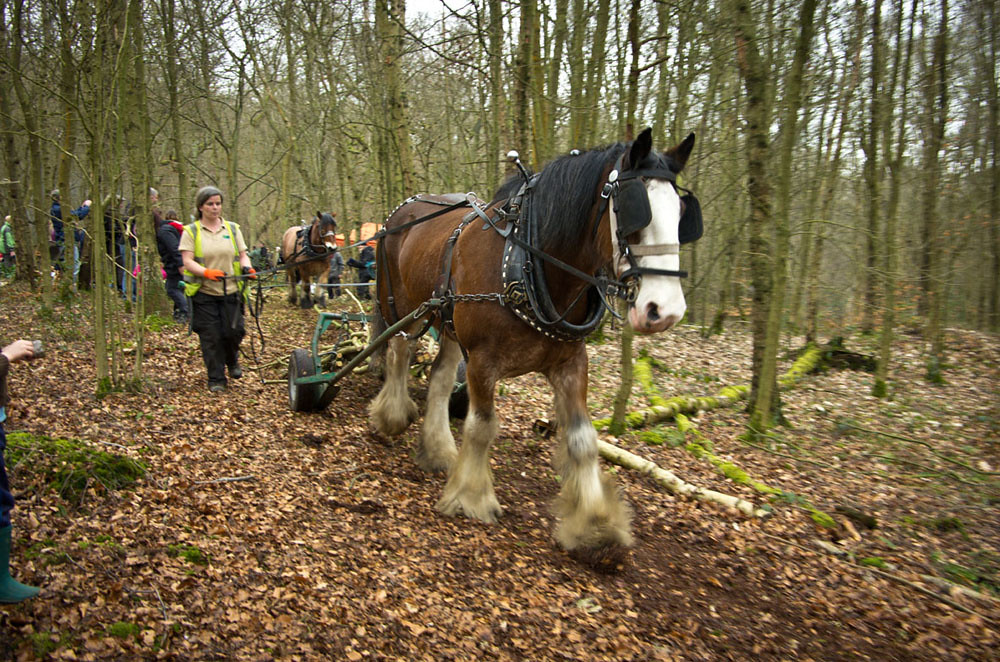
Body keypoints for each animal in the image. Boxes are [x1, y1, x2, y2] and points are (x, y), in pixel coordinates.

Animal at [370, 128, 702, 566]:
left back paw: (439, 450)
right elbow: (481, 426)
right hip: (402, 306)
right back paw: (391, 415)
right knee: (398, 353)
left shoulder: (571, 362)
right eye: (636, 211)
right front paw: (471, 497)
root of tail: (399, 212)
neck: (527, 261)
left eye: (681, 215)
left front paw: (595, 525)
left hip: (448, 322)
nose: (664, 310)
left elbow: (582, 439)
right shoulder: (483, 361)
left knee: (439, 379)